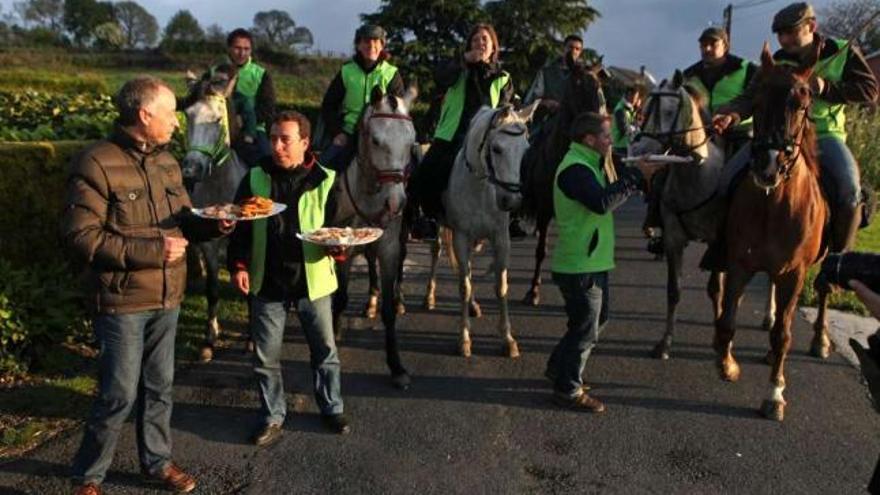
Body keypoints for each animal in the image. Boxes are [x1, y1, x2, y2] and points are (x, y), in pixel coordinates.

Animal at [332, 86, 418, 392]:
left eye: (411, 141)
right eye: (376, 140)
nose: (396, 203)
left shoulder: (389, 248)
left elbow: (389, 310)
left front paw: (397, 367)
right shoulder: (343, 247)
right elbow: (341, 296)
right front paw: (335, 332)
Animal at [424, 103, 540, 360]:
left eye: (525, 151)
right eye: (496, 149)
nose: (511, 201)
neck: (480, 186)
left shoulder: (500, 238)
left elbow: (500, 286)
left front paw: (508, 339)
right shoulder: (461, 236)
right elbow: (463, 287)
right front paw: (464, 339)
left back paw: (474, 305)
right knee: (437, 253)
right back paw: (429, 296)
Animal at [520, 62, 608, 306]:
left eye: (599, 86)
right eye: (576, 85)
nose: (599, 121)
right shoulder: (544, 207)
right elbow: (541, 250)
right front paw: (533, 291)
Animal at [628, 70, 772, 360]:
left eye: (669, 110)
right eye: (644, 109)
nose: (640, 151)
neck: (699, 174)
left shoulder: (718, 239)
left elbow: (716, 289)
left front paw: (721, 336)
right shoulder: (674, 238)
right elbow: (674, 291)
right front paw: (664, 344)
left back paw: (769, 317)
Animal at [716, 43, 832, 422]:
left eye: (803, 103)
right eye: (755, 103)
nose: (767, 166)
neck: (774, 204)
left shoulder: (795, 274)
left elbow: (784, 334)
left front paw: (775, 394)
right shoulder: (739, 263)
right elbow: (727, 321)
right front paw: (727, 365)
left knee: (822, 292)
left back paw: (820, 340)